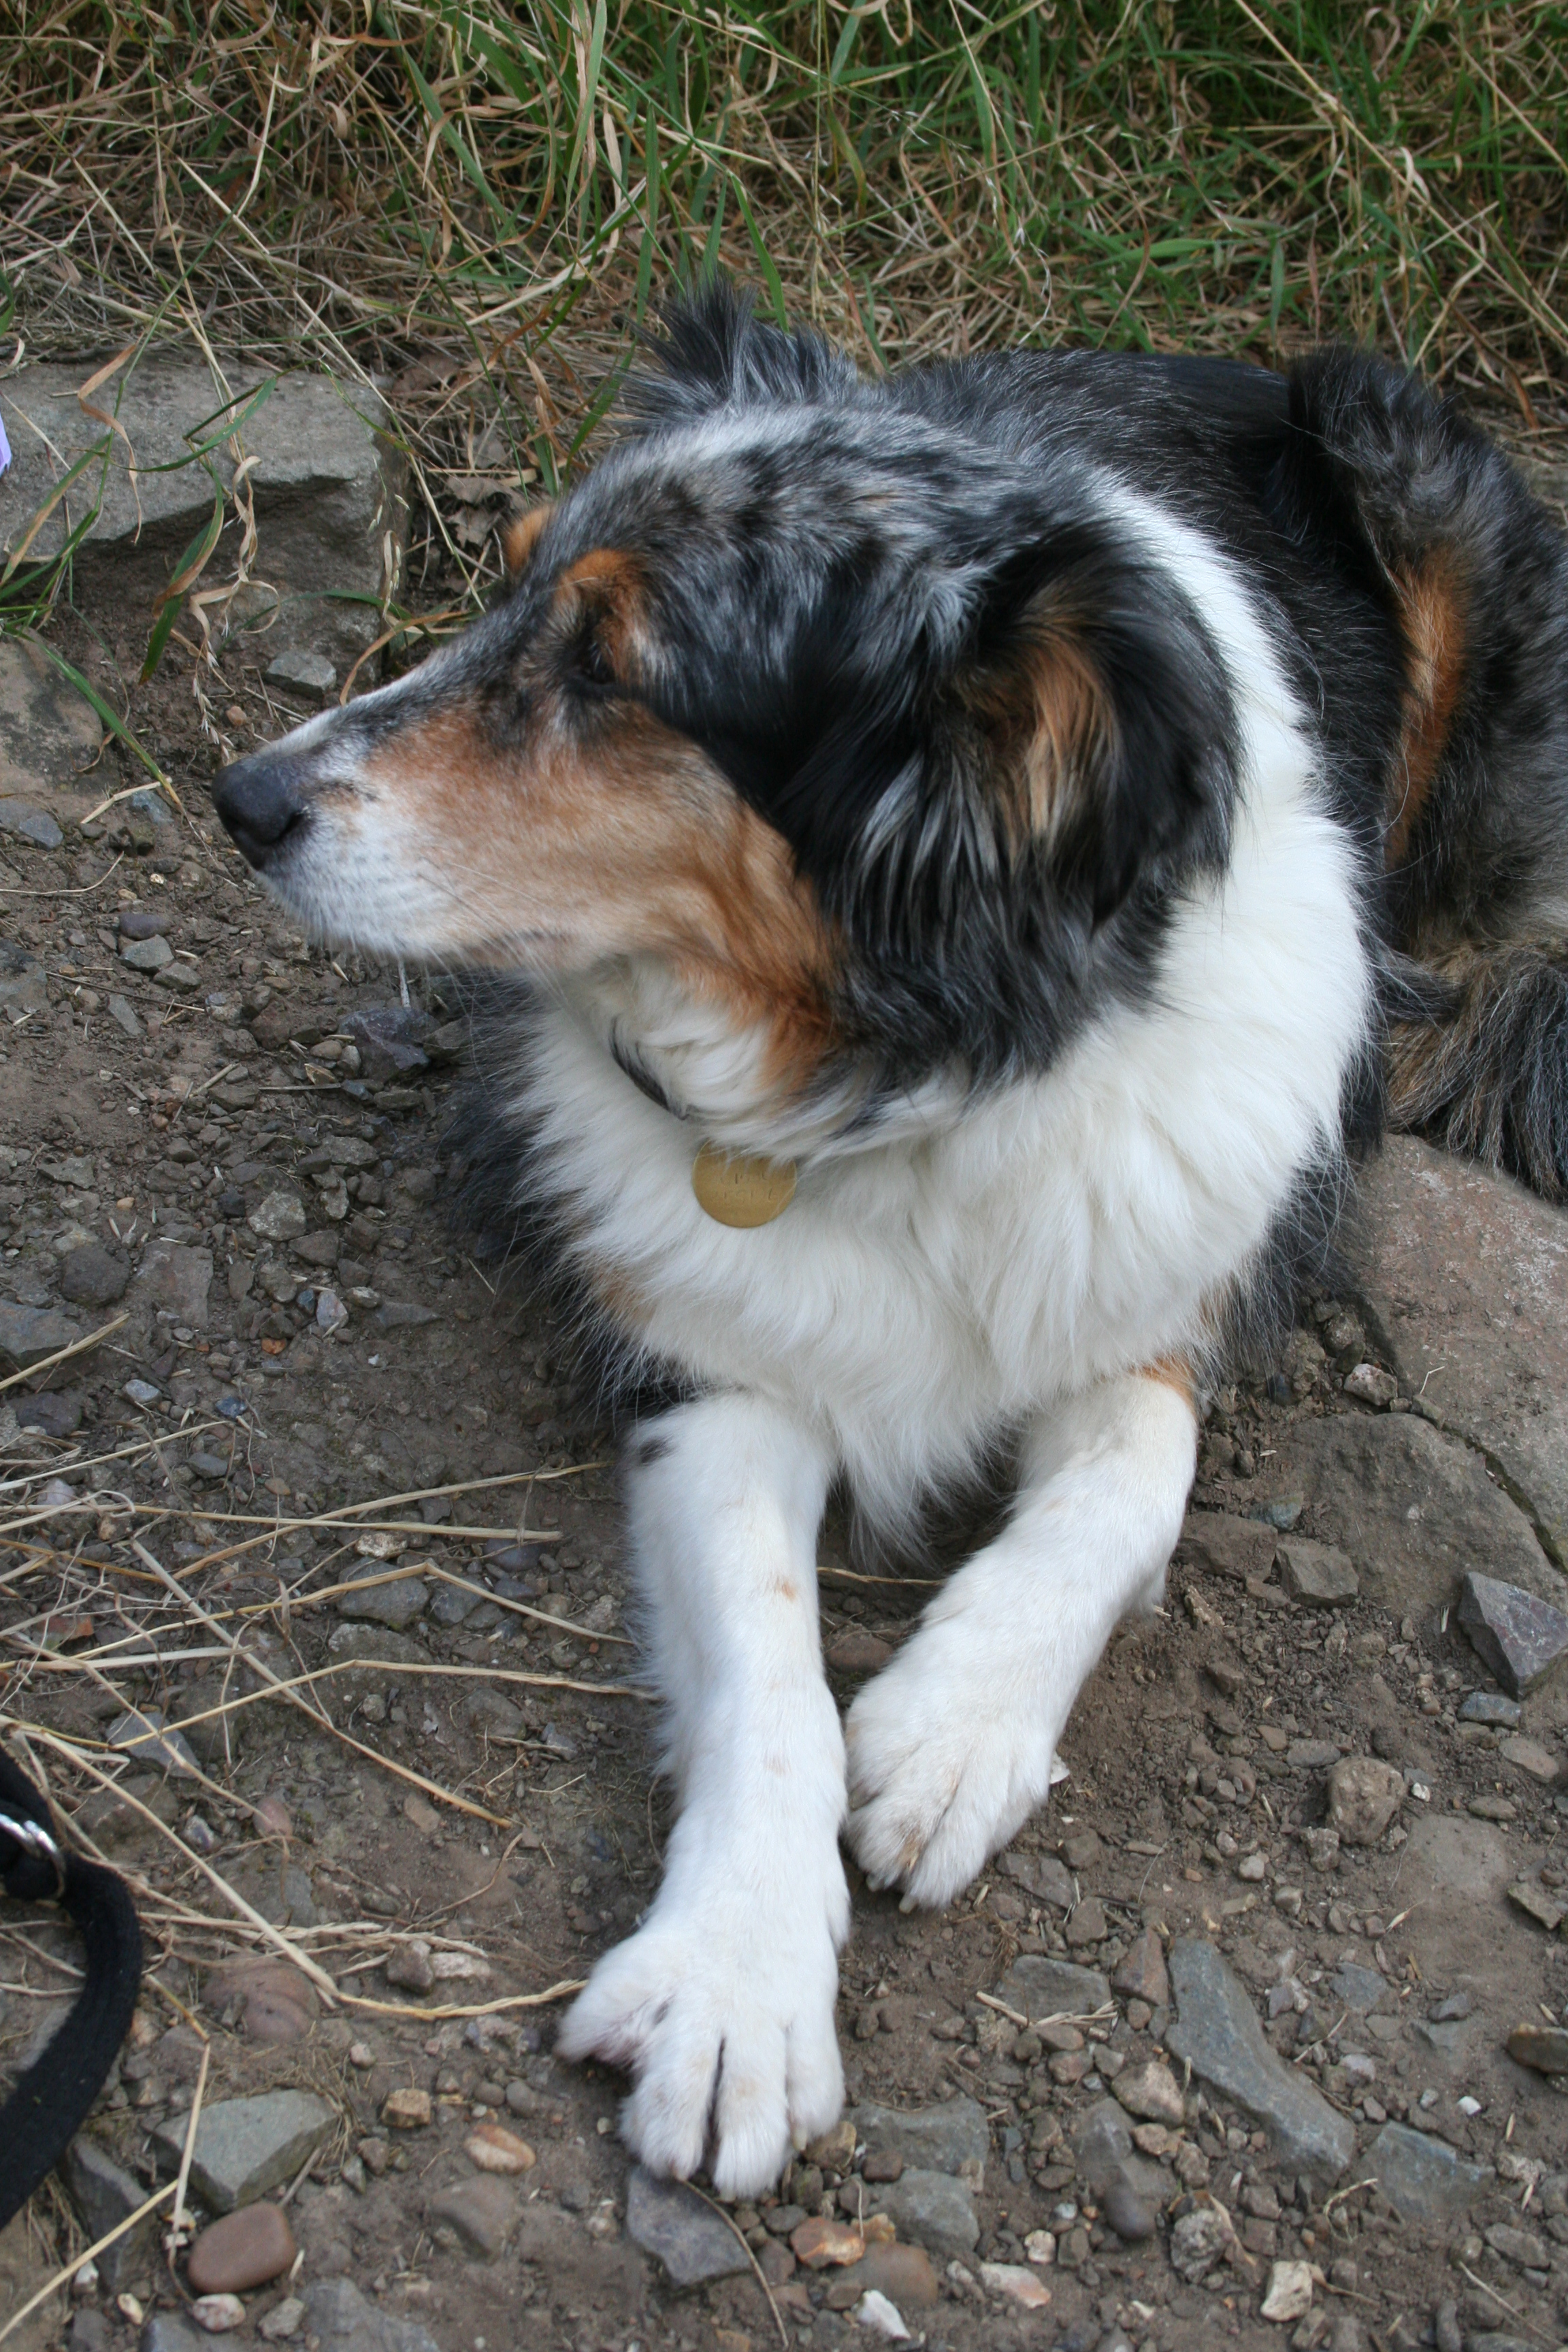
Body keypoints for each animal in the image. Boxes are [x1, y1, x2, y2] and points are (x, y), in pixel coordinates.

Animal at [215, 284, 1568, 2191]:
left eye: (610, 669)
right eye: (501, 582)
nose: (241, 797)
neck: (902, 1060)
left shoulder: (1182, 1277)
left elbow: (1131, 1474)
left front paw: (954, 1727)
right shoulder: (707, 1358)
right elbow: (767, 1657)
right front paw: (736, 1985)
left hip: (1399, 453)